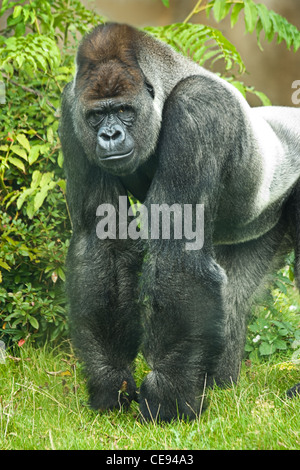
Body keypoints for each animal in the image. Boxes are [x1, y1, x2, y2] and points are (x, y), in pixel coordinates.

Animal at [58, 22, 300, 420]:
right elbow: (103, 242)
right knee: (234, 292)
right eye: (96, 116)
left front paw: (166, 401)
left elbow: (178, 254)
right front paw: (112, 383)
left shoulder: (197, 109)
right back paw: (219, 382)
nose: (109, 135)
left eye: (123, 110)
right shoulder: (71, 110)